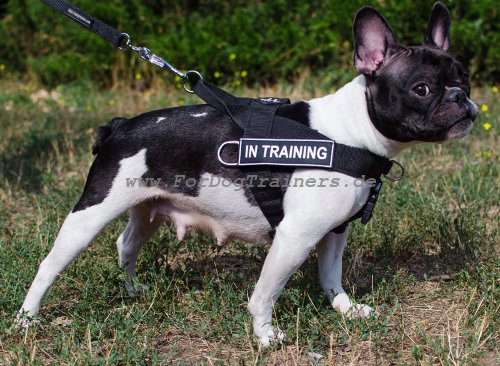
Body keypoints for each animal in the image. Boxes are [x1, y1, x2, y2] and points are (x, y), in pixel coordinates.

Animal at [18, 2, 476, 346]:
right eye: (422, 89)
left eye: (464, 77)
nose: (462, 97)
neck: (350, 132)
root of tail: (120, 126)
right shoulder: (296, 237)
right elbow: (266, 293)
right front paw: (266, 337)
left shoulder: (334, 231)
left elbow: (331, 275)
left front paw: (344, 309)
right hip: (92, 212)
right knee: (50, 264)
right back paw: (27, 319)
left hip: (147, 208)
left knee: (126, 245)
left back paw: (131, 292)